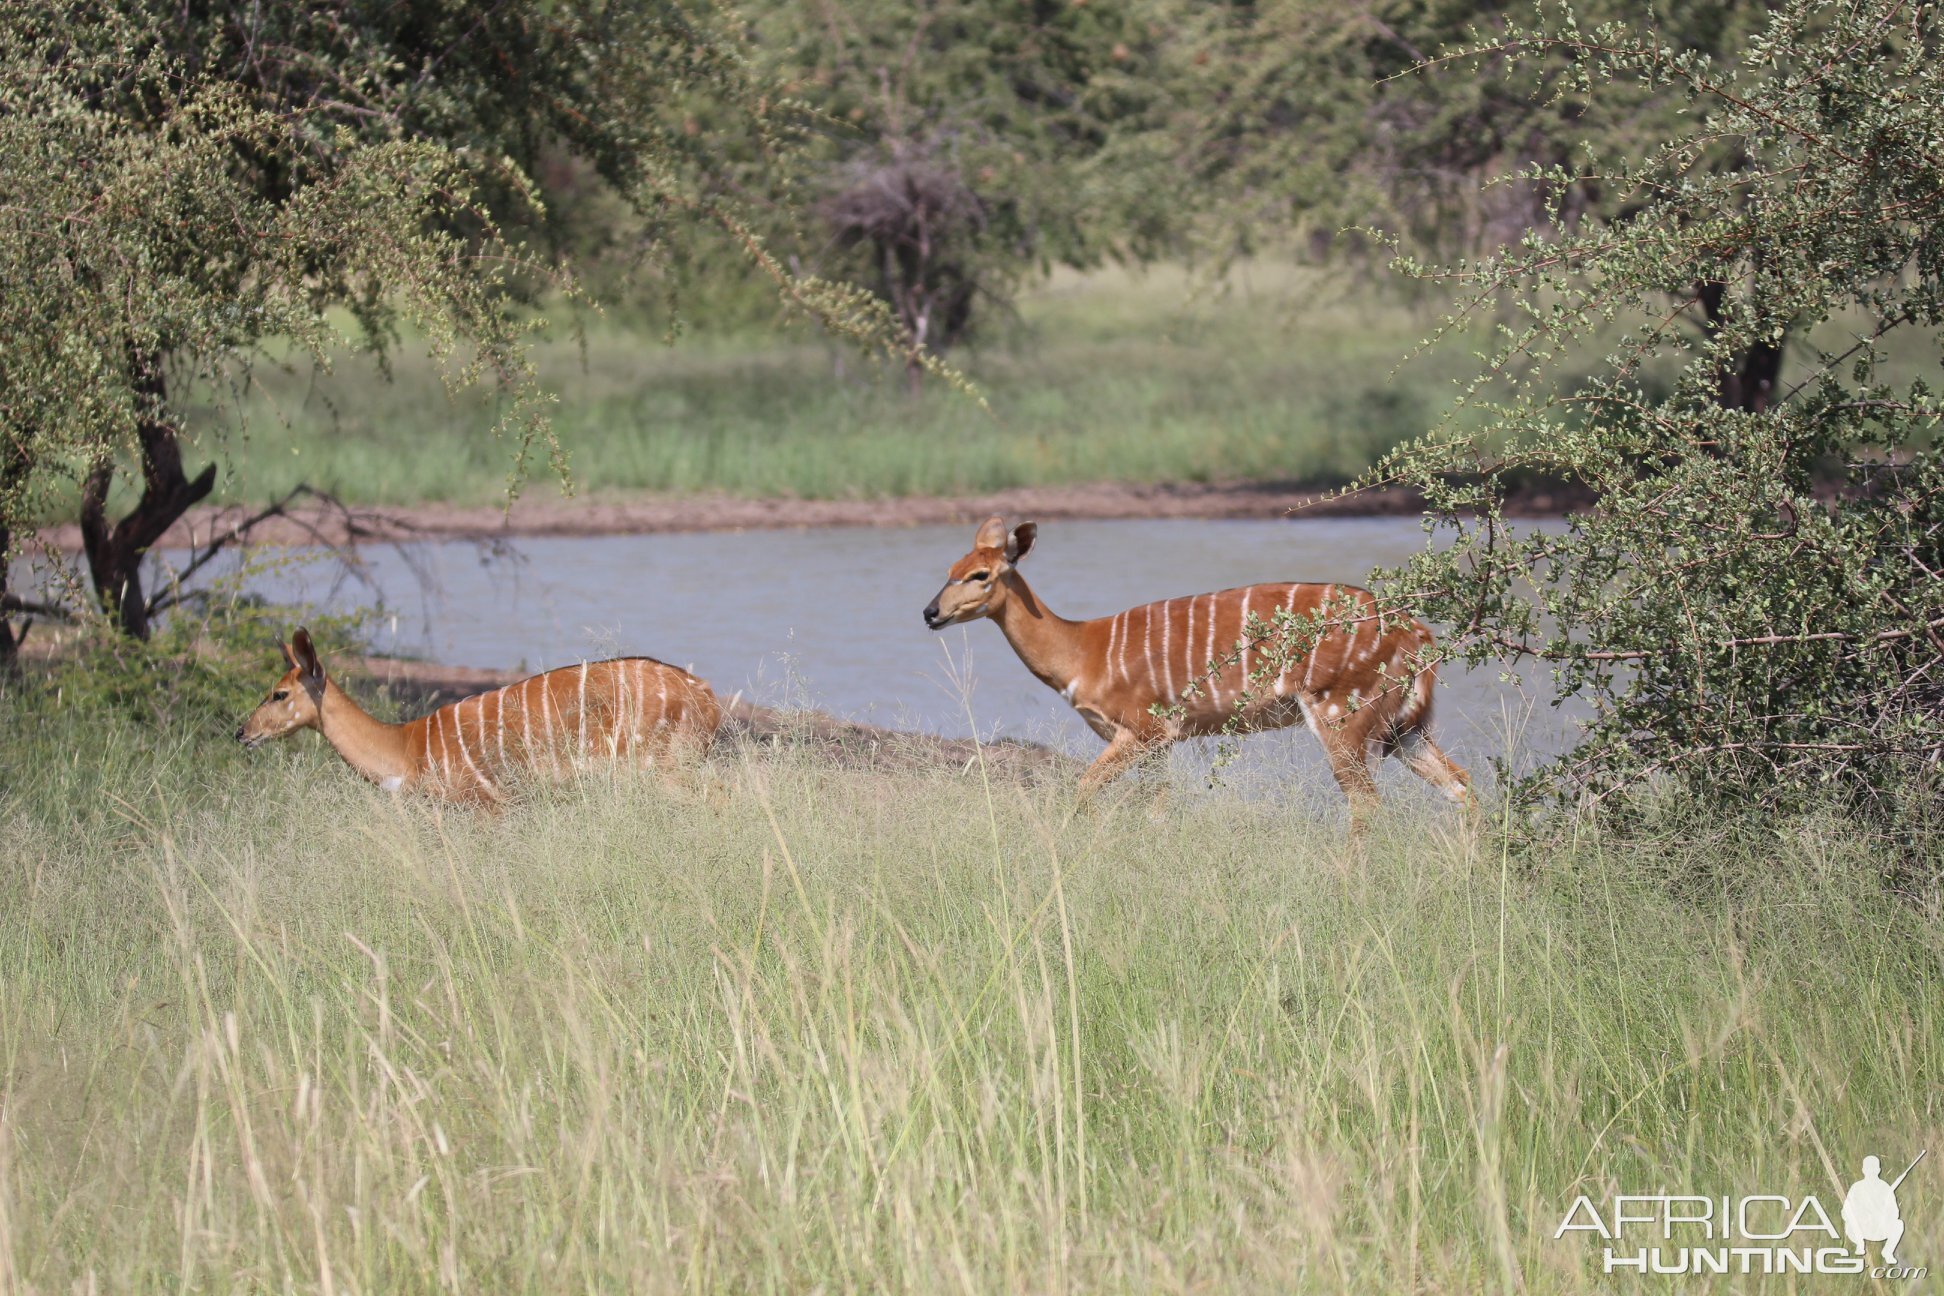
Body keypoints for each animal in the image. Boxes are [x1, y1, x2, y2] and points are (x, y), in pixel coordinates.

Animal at [236, 629, 723, 800]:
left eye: (278, 693)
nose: (241, 732)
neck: (407, 747)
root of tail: (707, 696)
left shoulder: (486, 804)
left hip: (666, 769)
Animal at [925, 520, 1469, 816]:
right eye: (949, 570)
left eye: (981, 574)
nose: (930, 612)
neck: (1082, 650)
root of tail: (1418, 633)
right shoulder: (1158, 744)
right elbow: (1157, 811)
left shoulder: (1144, 730)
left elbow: (1084, 789)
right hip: (1403, 727)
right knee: (1461, 785)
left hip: (1342, 716)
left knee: (1367, 804)